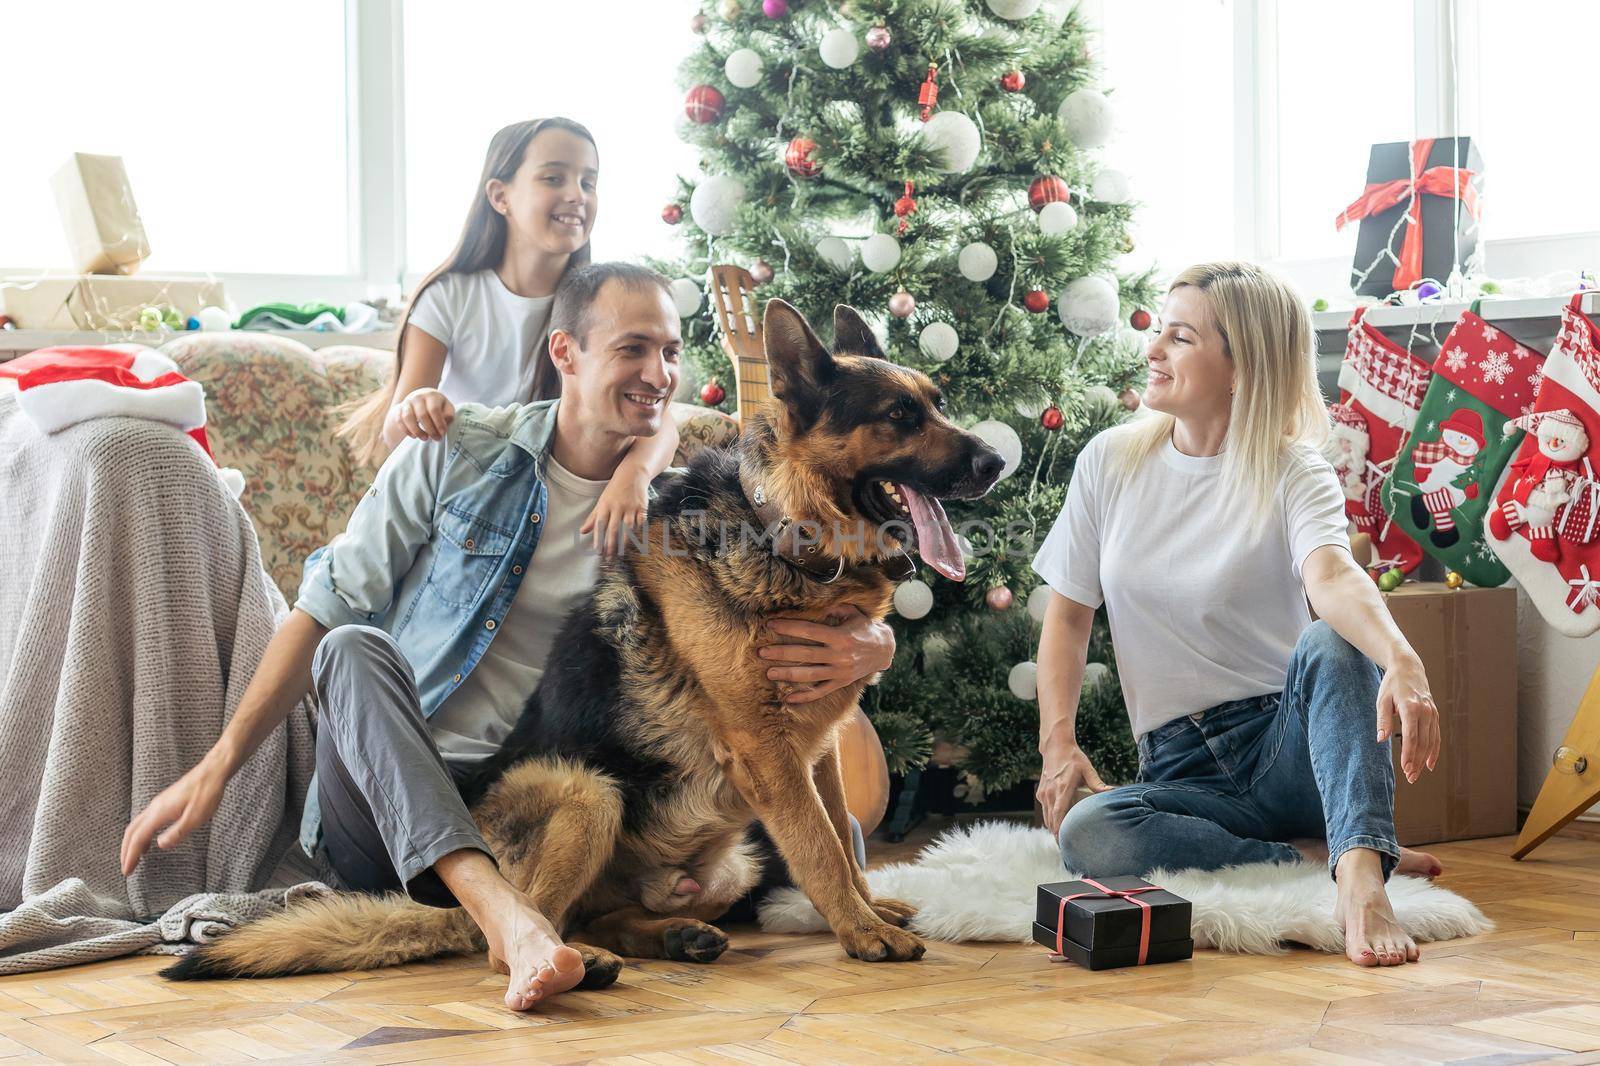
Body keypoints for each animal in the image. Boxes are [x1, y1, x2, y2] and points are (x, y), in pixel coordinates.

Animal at [168, 296, 1004, 979]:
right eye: (898, 417)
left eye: (938, 404)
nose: (1001, 460)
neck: (779, 529)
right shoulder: (768, 752)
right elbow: (821, 847)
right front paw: (861, 933)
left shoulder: (817, 748)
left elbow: (838, 837)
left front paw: (867, 909)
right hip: (589, 791)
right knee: (524, 924)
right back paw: (567, 959)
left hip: (725, 861)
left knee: (602, 912)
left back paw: (668, 937)